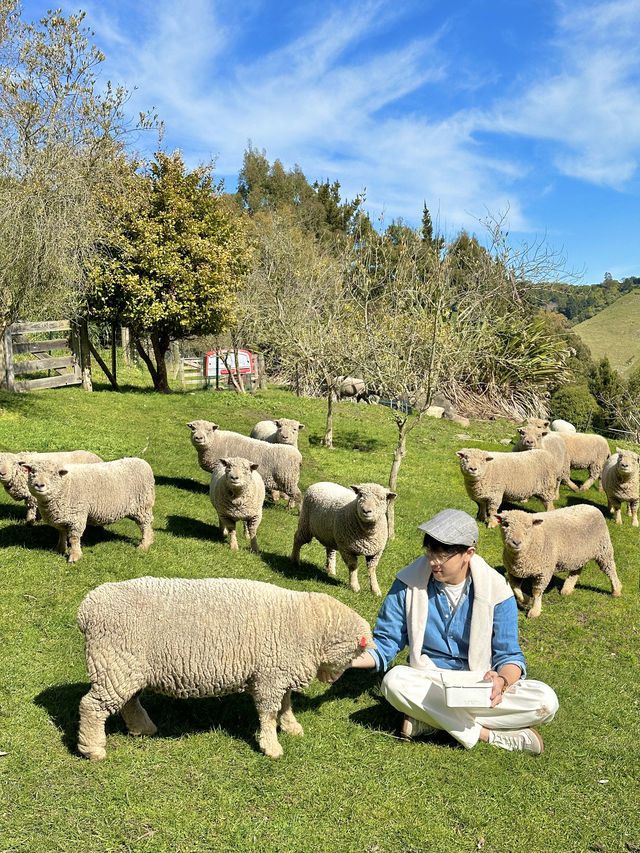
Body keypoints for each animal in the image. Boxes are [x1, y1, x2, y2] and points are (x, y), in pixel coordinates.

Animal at [21, 456, 154, 564]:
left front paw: (75, 556)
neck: (65, 485)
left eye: (53, 474)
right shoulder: (62, 516)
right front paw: (60, 549)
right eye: (33, 472)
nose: (39, 485)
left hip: (142, 505)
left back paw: (145, 544)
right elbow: (61, 533)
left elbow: (74, 538)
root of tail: (142, 461)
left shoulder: (77, 515)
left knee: (145, 525)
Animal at [77, 572, 372, 760]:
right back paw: (93, 749)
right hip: (113, 663)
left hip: (127, 667)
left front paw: (291, 727)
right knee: (92, 707)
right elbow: (268, 713)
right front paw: (271, 746)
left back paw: (142, 728)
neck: (306, 623)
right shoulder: (270, 677)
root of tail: (87, 609)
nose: (332, 681)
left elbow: (286, 705)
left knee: (129, 702)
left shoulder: (280, 673)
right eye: (353, 655)